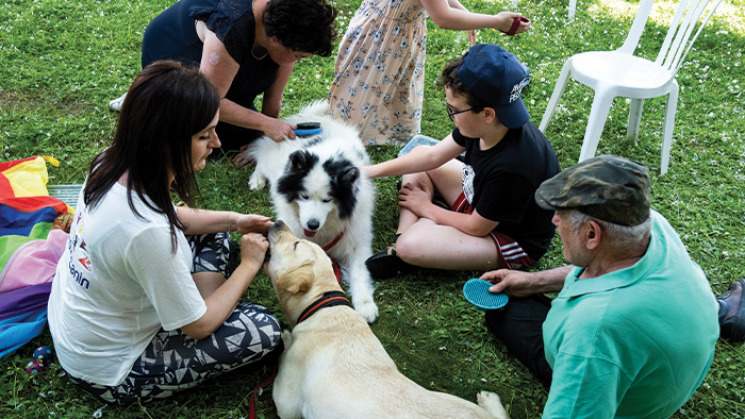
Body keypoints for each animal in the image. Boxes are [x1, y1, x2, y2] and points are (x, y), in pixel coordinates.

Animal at [247, 101, 378, 322]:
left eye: (327, 200)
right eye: (304, 196)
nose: (312, 224)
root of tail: (307, 118)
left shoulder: (357, 239)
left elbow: (360, 271)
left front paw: (365, 305)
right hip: (271, 158)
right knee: (259, 159)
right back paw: (257, 179)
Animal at [264, 221, 512, 418]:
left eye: (296, 245)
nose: (277, 222)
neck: (324, 304)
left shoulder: (287, 402)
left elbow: (284, 357)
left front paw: (285, 336)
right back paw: (490, 400)